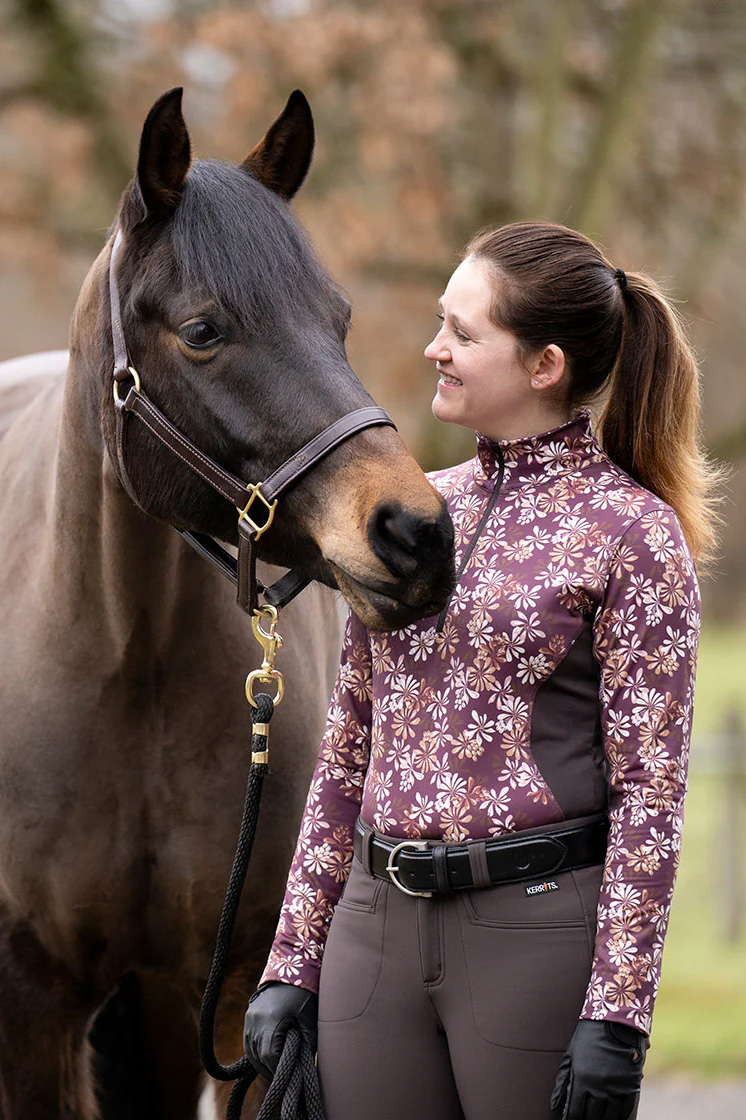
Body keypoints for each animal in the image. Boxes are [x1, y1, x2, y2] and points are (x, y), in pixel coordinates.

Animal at [0, 89, 452, 1120]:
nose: (415, 534)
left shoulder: (246, 991)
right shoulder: (33, 1002)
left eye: (339, 318)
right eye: (203, 330)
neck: (124, 662)